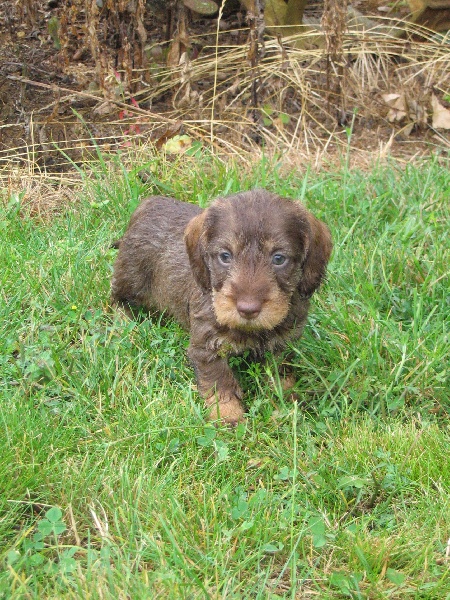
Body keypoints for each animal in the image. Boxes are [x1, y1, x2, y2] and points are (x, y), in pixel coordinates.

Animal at [110, 190, 332, 424]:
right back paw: (125, 325)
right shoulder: (206, 346)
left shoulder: (283, 344)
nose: (248, 309)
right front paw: (229, 416)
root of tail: (147, 204)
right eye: (225, 256)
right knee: (117, 299)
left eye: (279, 258)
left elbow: (281, 374)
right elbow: (220, 383)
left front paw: (289, 404)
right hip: (131, 279)